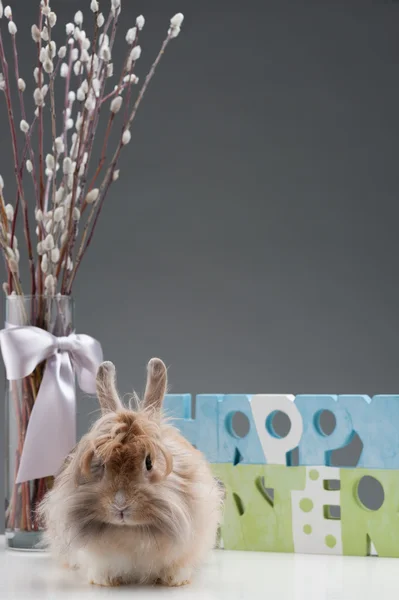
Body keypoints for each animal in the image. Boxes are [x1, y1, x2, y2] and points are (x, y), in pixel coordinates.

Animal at [38, 356, 223, 584]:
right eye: (101, 463)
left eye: (149, 462)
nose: (120, 505)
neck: (132, 533)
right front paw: (104, 582)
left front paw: (175, 581)